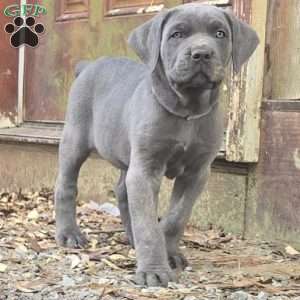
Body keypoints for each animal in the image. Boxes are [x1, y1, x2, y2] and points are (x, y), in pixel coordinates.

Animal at [55, 2, 258, 288]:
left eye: (220, 34)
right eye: (176, 34)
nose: (201, 53)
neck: (186, 110)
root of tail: (88, 65)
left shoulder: (197, 173)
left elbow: (176, 216)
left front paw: (168, 251)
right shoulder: (146, 169)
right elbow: (148, 224)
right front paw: (153, 269)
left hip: (127, 154)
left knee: (122, 190)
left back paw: (131, 237)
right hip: (74, 140)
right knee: (66, 185)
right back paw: (69, 234)